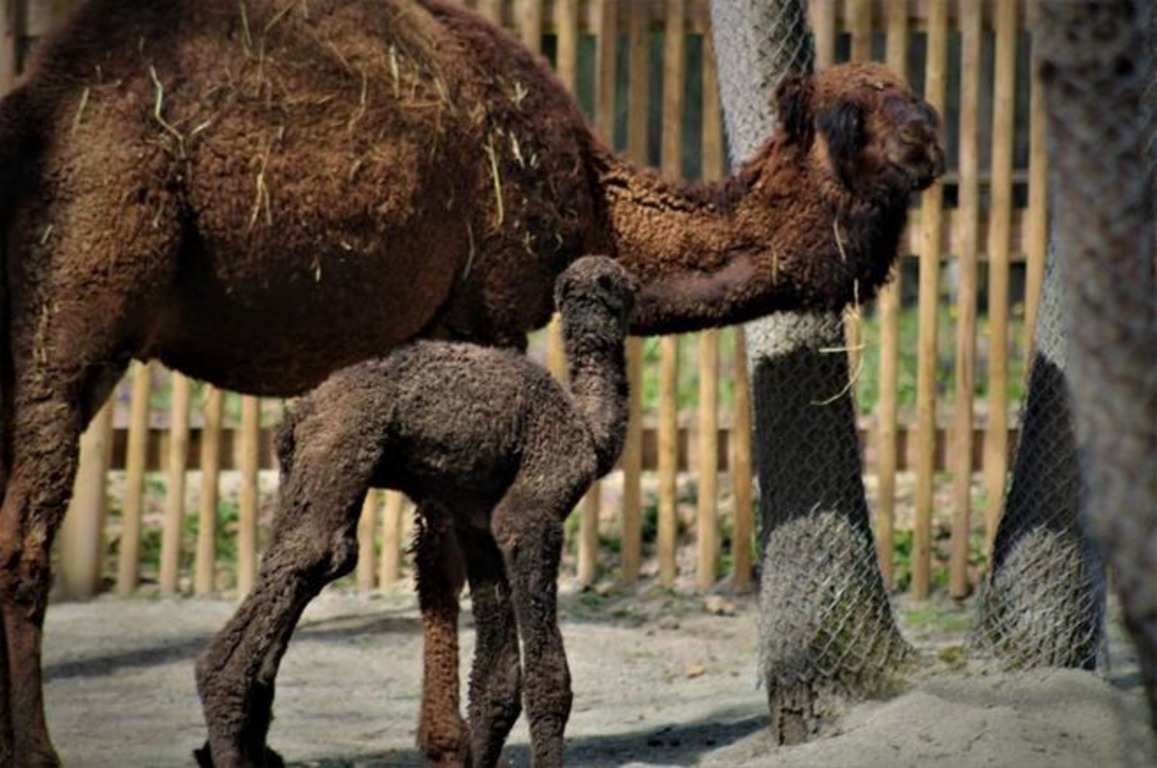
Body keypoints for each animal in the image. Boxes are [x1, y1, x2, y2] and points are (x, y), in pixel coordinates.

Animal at [194, 254, 638, 763]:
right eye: (625, 287)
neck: (587, 430)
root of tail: (298, 416)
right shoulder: (534, 509)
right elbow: (548, 679)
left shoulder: (477, 524)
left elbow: (495, 681)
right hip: (345, 445)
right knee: (318, 554)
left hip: (309, 473)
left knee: (296, 556)